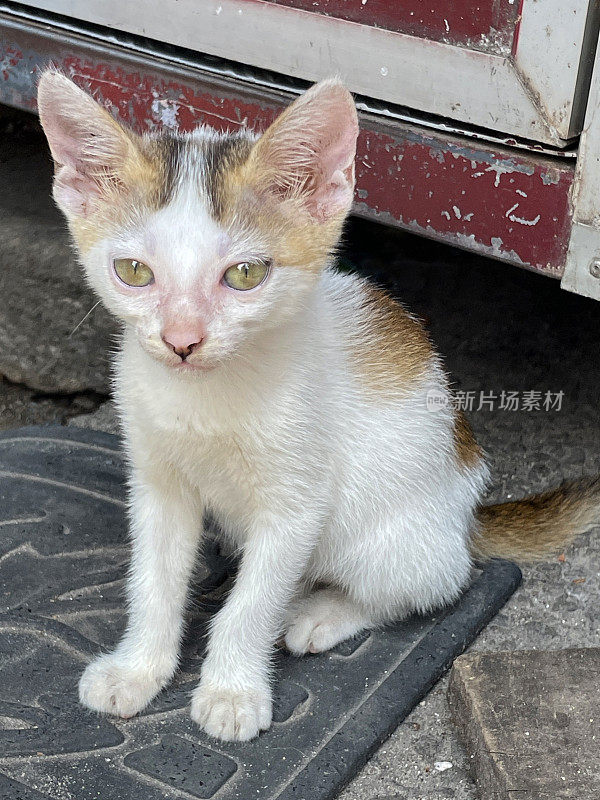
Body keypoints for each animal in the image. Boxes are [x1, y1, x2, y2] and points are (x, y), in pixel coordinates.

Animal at [37, 72, 600, 740]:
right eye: (133, 271)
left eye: (245, 274)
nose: (181, 340)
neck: (206, 396)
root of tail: (466, 516)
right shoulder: (157, 481)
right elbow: (153, 582)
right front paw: (139, 669)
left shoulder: (297, 501)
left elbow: (251, 605)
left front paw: (231, 691)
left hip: (390, 541)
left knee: (430, 586)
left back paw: (323, 612)